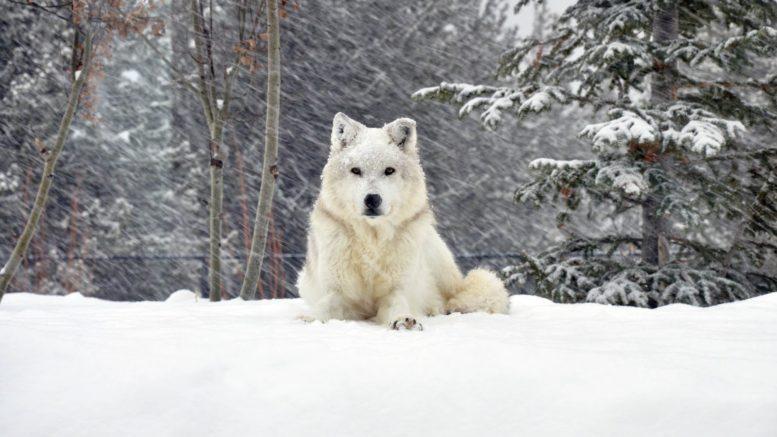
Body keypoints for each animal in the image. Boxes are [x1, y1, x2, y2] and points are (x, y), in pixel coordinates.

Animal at [298, 114, 510, 328]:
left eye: (389, 171)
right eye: (356, 170)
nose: (372, 199)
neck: (371, 241)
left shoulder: (396, 290)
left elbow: (398, 305)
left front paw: (403, 320)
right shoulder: (338, 291)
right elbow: (324, 306)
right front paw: (309, 319)